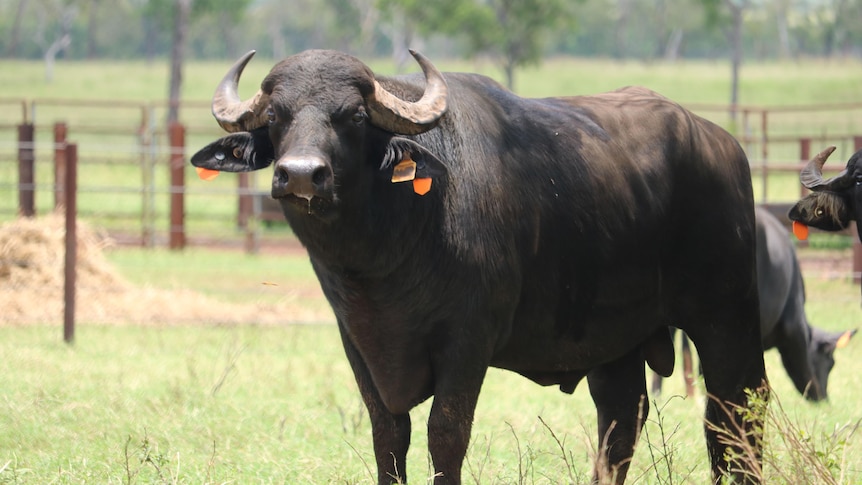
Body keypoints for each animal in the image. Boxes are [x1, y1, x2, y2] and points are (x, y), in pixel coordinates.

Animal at [192, 50, 768, 484]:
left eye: (353, 115)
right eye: (275, 115)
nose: (301, 175)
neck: (384, 262)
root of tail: (724, 146)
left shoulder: (467, 341)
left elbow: (445, 435)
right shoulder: (358, 342)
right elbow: (388, 436)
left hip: (727, 317)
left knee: (736, 413)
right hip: (616, 339)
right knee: (621, 419)